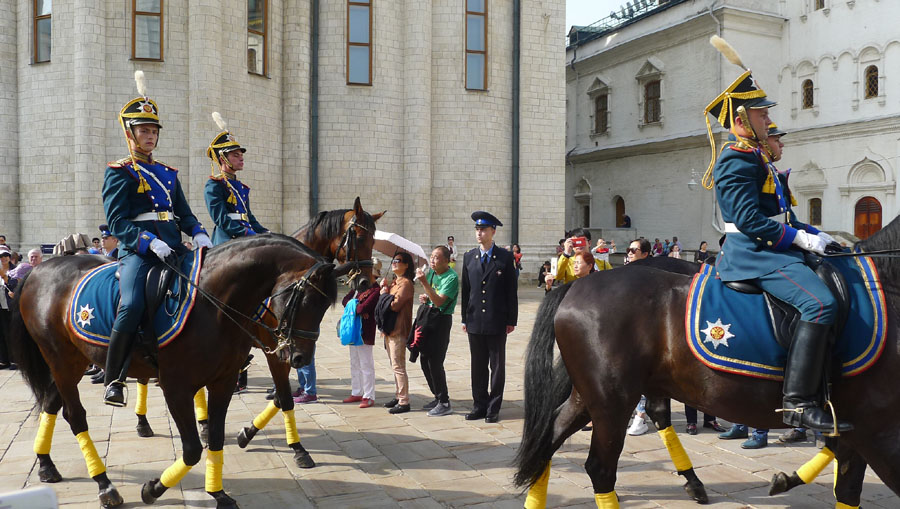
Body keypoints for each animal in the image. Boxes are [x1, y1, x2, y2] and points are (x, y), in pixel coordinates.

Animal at [7, 235, 342, 508]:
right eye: (305, 299)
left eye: (326, 306)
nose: (300, 357)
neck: (213, 302)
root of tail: (40, 269)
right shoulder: (177, 386)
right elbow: (192, 449)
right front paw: (153, 489)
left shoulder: (224, 380)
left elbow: (218, 436)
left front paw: (219, 492)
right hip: (60, 359)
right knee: (74, 416)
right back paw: (104, 484)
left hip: (72, 361)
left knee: (51, 403)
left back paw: (46, 465)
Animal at [512, 216, 900, 506]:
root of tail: (576, 286)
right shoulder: (875, 429)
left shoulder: (857, 425)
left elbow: (845, 484)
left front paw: (787, 479)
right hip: (612, 401)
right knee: (600, 468)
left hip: (595, 395)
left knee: (550, 438)